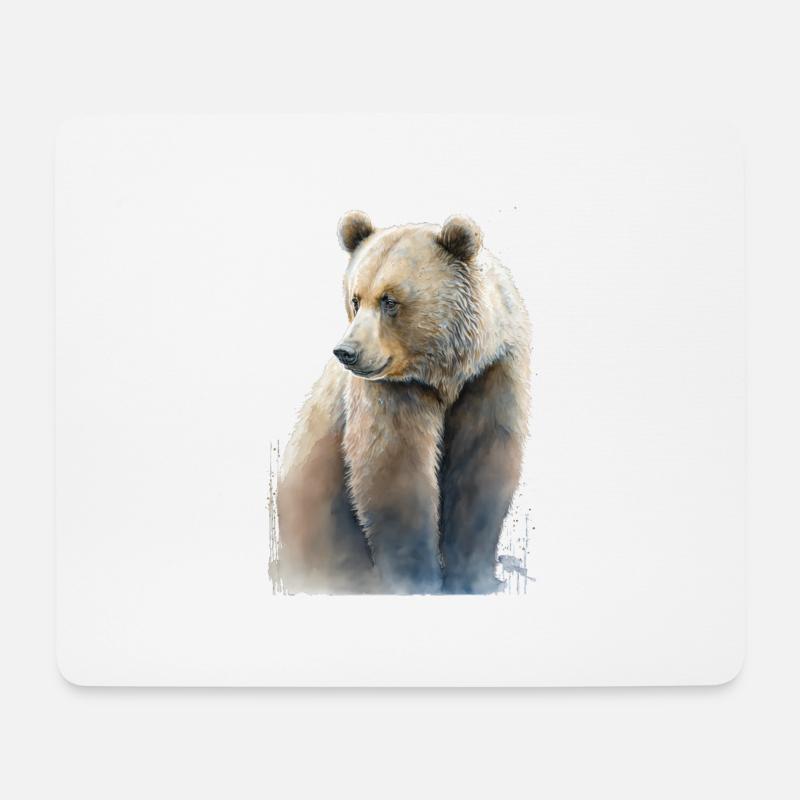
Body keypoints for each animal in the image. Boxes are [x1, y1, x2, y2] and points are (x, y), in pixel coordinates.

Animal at [276, 212, 531, 594]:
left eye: (389, 300)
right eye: (356, 299)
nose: (346, 352)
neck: (444, 373)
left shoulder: (491, 375)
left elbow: (483, 466)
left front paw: (474, 577)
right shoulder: (392, 392)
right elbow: (394, 472)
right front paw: (417, 578)